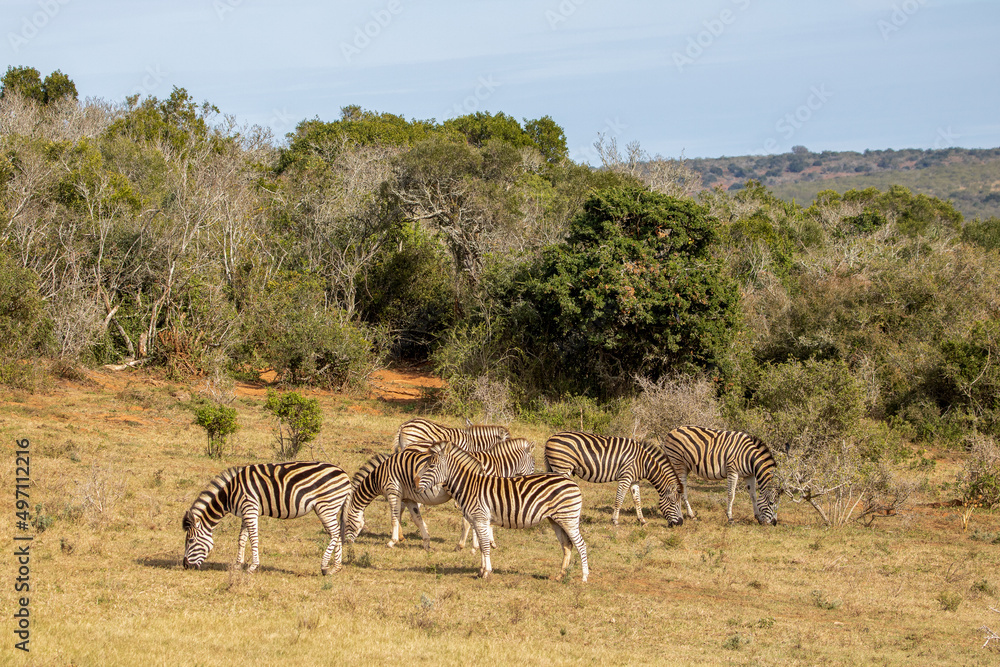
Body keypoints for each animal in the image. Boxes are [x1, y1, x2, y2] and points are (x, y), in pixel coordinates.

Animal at [182, 461, 351, 575]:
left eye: (190, 541)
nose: (185, 566)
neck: (231, 494)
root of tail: (345, 475)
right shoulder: (245, 513)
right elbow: (241, 539)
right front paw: (237, 565)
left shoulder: (250, 508)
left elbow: (253, 539)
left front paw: (253, 566)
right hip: (331, 507)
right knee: (337, 534)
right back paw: (336, 568)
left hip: (326, 507)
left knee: (335, 533)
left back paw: (324, 566)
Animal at [342, 439, 534, 550]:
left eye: (346, 522)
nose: (346, 542)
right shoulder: (408, 497)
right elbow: (416, 519)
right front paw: (426, 542)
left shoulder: (393, 491)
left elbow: (394, 517)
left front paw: (392, 541)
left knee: (468, 521)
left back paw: (467, 545)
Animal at [415, 441, 590, 583]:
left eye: (431, 466)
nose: (415, 484)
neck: (469, 485)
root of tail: (571, 482)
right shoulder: (478, 521)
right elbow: (481, 545)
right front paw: (481, 571)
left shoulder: (481, 519)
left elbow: (485, 546)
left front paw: (486, 573)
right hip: (556, 520)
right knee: (567, 545)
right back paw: (560, 575)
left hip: (569, 518)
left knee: (580, 544)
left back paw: (584, 577)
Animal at [543, 431, 684, 527]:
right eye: (673, 503)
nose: (680, 523)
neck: (642, 462)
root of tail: (550, 438)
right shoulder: (625, 476)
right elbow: (619, 500)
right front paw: (615, 521)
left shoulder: (634, 480)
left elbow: (637, 500)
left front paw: (642, 520)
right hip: (562, 467)